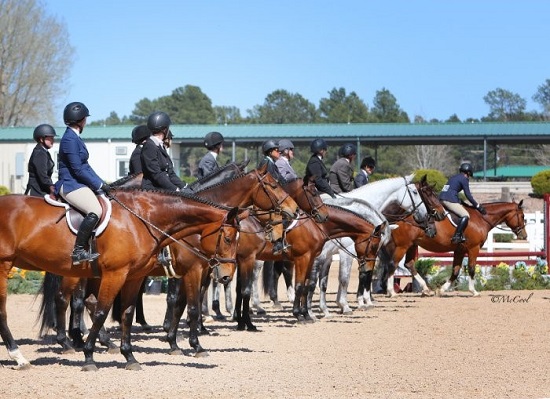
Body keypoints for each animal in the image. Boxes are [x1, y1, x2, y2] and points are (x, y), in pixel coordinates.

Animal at [0, 191, 244, 372]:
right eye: (228, 238)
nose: (226, 276)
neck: (142, 219)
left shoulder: (134, 277)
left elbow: (128, 313)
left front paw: (131, 357)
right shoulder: (117, 274)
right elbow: (102, 311)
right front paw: (89, 357)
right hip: (11, 266)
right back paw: (23, 356)